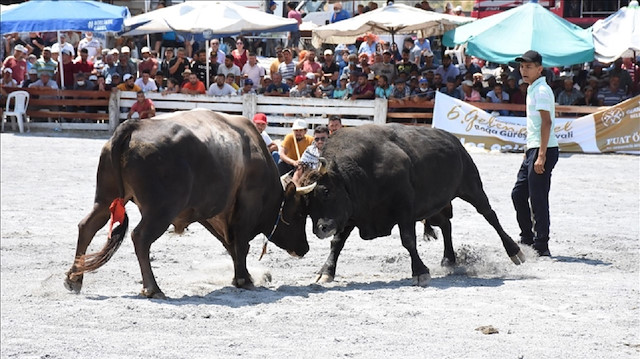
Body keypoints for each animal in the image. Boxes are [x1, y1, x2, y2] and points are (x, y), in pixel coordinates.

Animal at [64, 110, 312, 300]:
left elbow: (230, 245)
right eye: (300, 215)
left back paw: (74, 278)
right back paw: (153, 288)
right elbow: (241, 244)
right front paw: (244, 279)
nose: (305, 248)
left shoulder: (213, 214)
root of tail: (133, 126)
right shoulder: (246, 208)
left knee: (87, 226)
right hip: (160, 211)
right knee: (140, 238)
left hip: (106, 199)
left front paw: (240, 276)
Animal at [300, 124, 524, 286]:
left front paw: (420, 272)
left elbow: (408, 240)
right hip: (433, 205)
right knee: (446, 224)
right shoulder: (350, 215)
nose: (320, 229)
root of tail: (454, 141)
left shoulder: (404, 210)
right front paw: (326, 272)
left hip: (472, 187)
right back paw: (448, 259)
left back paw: (515, 251)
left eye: (326, 191)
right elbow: (337, 243)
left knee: (489, 215)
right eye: (307, 204)